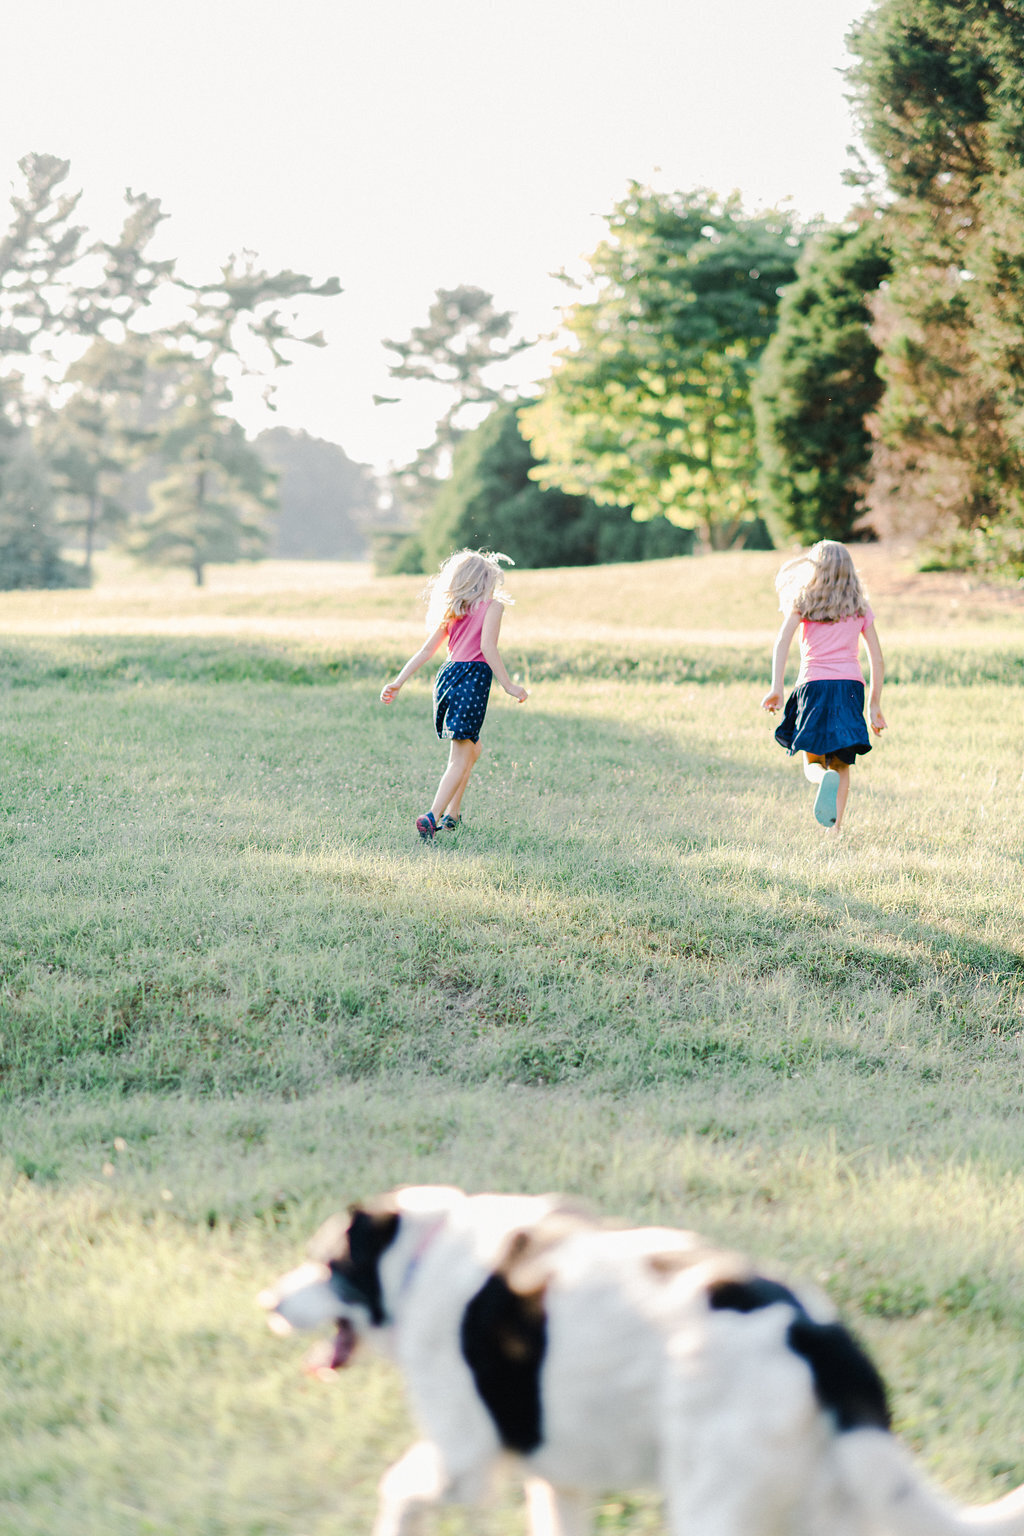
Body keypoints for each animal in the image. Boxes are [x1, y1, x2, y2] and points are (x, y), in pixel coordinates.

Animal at [257, 1185, 1024, 1536]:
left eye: (326, 1264)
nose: (267, 1301)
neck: (420, 1256)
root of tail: (814, 1333)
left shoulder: (464, 1456)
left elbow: (397, 1488)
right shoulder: (559, 1481)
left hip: (714, 1507)